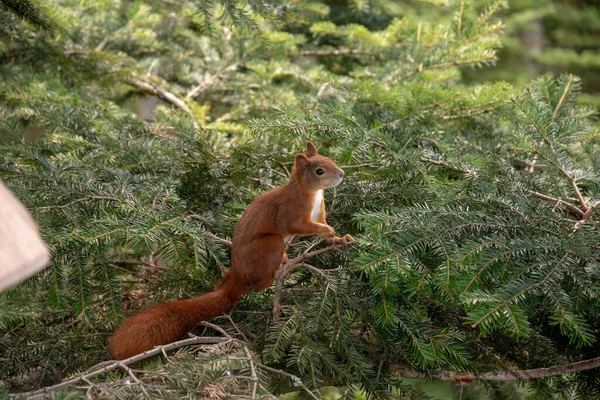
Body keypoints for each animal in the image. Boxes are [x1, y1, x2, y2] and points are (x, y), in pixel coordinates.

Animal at [109, 141, 352, 360]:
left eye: (329, 159)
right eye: (320, 171)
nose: (342, 173)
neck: (312, 193)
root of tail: (237, 278)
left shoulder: (318, 212)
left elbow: (325, 231)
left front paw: (340, 237)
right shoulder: (291, 212)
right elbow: (297, 226)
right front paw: (326, 230)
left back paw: (286, 264)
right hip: (271, 244)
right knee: (258, 284)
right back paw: (276, 274)